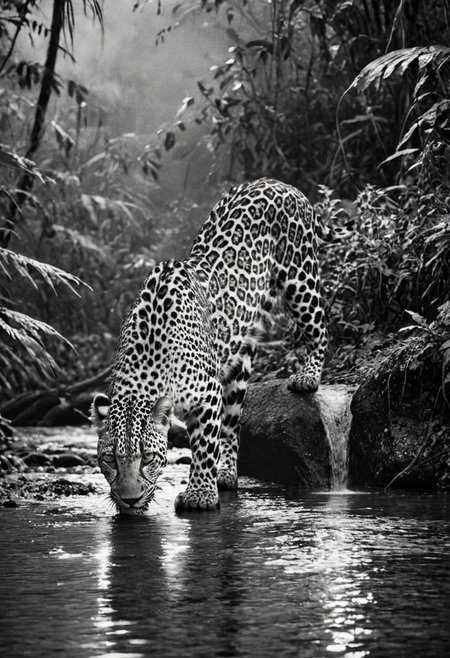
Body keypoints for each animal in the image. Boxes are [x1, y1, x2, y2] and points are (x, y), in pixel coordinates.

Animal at [91, 178, 329, 514]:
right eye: (110, 459)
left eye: (147, 458)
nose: (130, 498)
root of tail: (278, 183)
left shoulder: (206, 394)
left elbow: (204, 447)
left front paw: (200, 495)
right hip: (240, 358)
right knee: (233, 423)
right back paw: (227, 472)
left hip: (300, 278)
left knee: (319, 328)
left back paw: (307, 377)